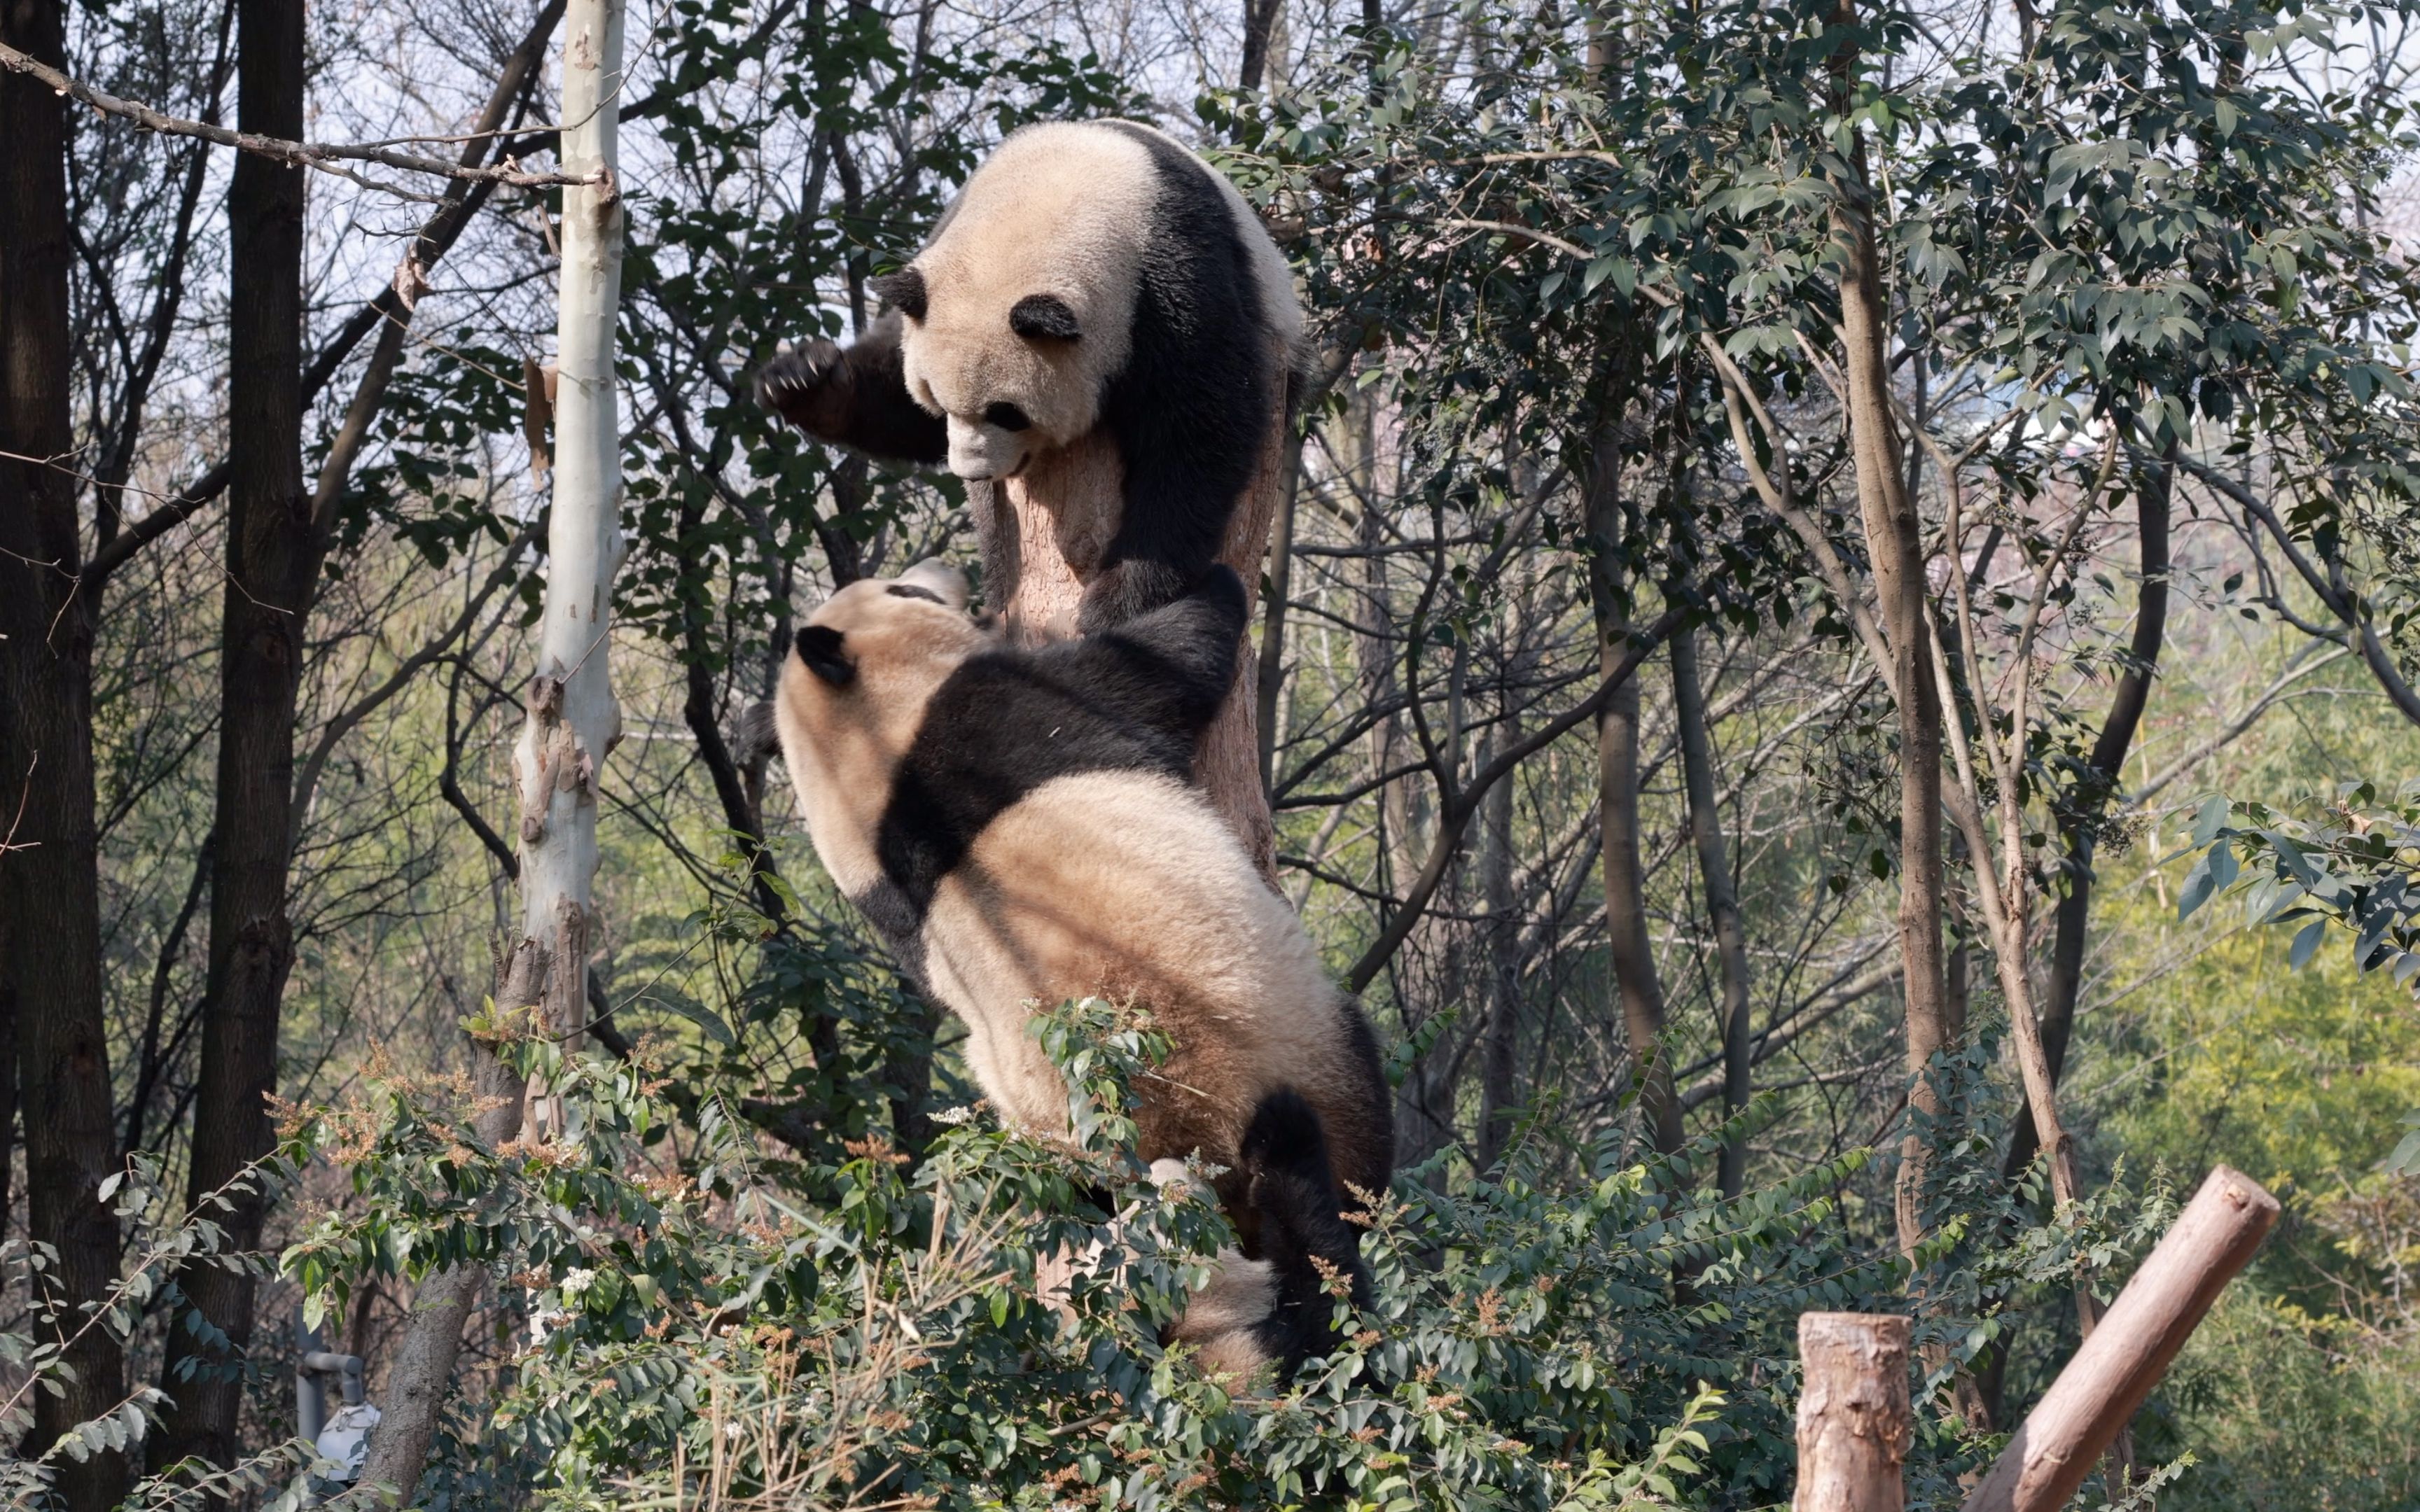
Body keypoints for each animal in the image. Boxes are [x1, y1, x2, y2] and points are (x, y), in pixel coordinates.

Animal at [760, 120, 1307, 629]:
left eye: (1007, 413)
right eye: (936, 399)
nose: (973, 471)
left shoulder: (1175, 278)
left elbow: (1201, 424)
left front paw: (1118, 599)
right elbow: (897, 394)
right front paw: (803, 381)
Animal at [765, 561, 1393, 1374]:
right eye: (905, 594)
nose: (943, 571)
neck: (856, 760)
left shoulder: (889, 898)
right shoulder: (1003, 709)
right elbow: (1166, 663)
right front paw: (1212, 582)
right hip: (1298, 1039)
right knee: (1345, 1149)